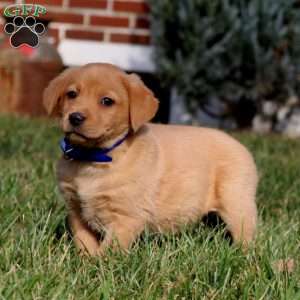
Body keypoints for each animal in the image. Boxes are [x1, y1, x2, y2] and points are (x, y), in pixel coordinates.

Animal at [42, 63, 258, 255]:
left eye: (107, 101)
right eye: (72, 94)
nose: (75, 117)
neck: (94, 157)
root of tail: (239, 144)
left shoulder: (127, 216)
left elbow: (109, 250)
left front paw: (96, 267)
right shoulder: (75, 210)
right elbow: (84, 241)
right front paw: (84, 261)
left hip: (237, 203)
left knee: (246, 235)